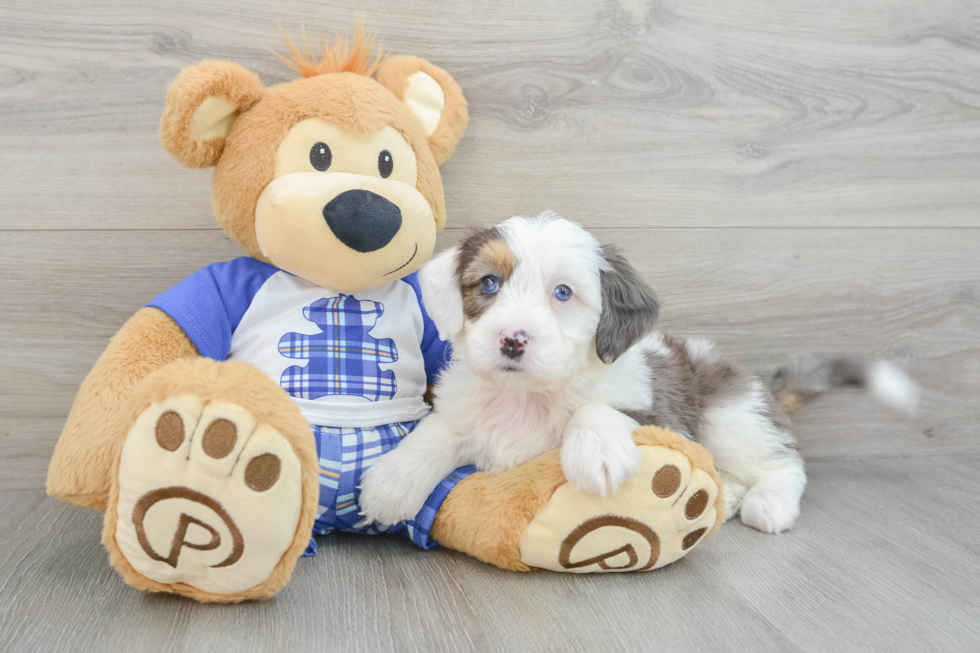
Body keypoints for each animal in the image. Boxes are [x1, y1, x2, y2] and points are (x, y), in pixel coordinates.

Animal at [360, 211, 920, 532]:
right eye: (490, 284)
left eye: (563, 293)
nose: (512, 340)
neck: (528, 395)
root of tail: (754, 380)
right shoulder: (464, 410)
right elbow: (439, 432)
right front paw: (391, 482)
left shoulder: (656, 411)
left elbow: (601, 410)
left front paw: (599, 454)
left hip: (729, 413)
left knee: (787, 462)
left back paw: (767, 502)